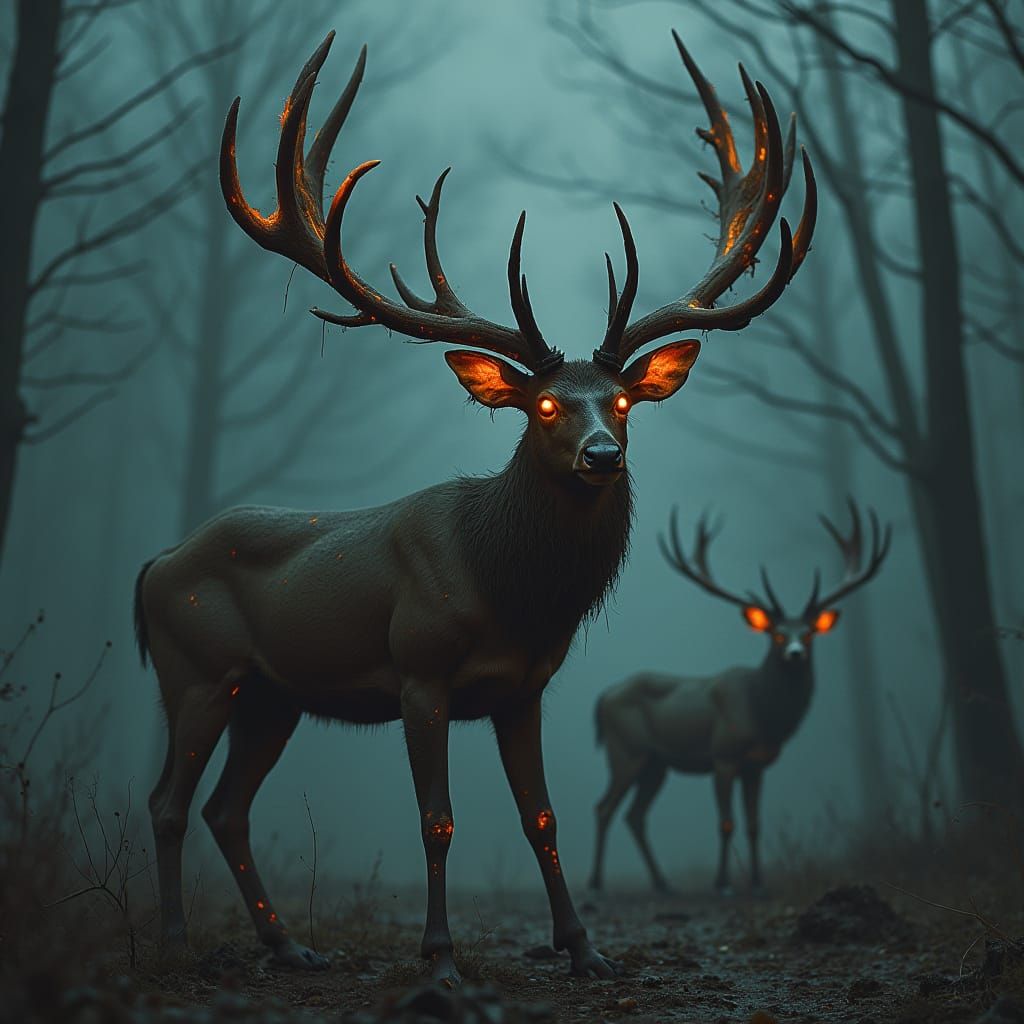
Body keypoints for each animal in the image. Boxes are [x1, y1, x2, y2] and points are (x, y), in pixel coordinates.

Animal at [134, 28, 816, 985]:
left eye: (624, 403)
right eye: (544, 405)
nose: (603, 455)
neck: (508, 590)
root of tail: (155, 565)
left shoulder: (524, 689)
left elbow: (543, 817)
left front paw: (584, 948)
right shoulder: (418, 671)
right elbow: (438, 820)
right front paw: (441, 955)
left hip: (271, 695)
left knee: (224, 809)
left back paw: (288, 943)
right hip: (196, 668)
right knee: (167, 800)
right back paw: (172, 941)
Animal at [589, 500, 890, 896]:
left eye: (809, 633)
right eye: (777, 634)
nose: (795, 654)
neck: (763, 716)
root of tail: (603, 698)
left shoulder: (756, 765)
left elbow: (754, 823)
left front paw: (758, 880)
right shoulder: (723, 754)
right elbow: (726, 821)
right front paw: (723, 882)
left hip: (656, 763)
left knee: (635, 815)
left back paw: (663, 882)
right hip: (627, 750)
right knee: (604, 807)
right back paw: (596, 882)